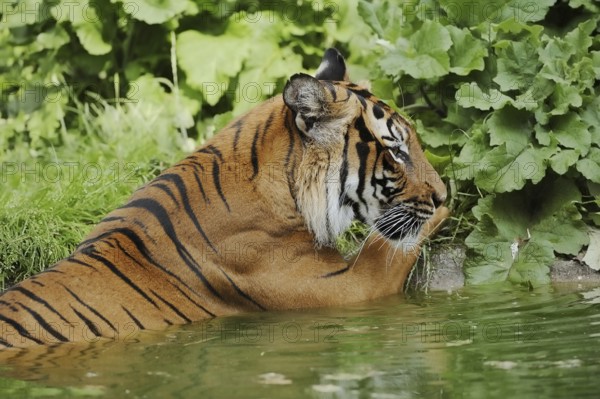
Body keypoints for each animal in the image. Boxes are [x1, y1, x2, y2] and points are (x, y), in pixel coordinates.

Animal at [0, 47, 446, 350]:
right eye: (397, 150)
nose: (441, 194)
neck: (282, 190)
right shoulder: (353, 287)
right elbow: (389, 244)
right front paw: (448, 209)